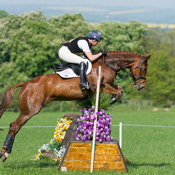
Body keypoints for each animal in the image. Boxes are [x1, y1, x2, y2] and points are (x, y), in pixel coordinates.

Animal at [0, 50, 150, 161]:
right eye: (144, 68)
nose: (141, 86)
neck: (108, 64)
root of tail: (26, 83)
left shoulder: (109, 85)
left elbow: (120, 89)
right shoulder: (100, 86)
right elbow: (118, 93)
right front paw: (111, 100)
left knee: (15, 126)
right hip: (31, 110)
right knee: (14, 126)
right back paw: (5, 153)